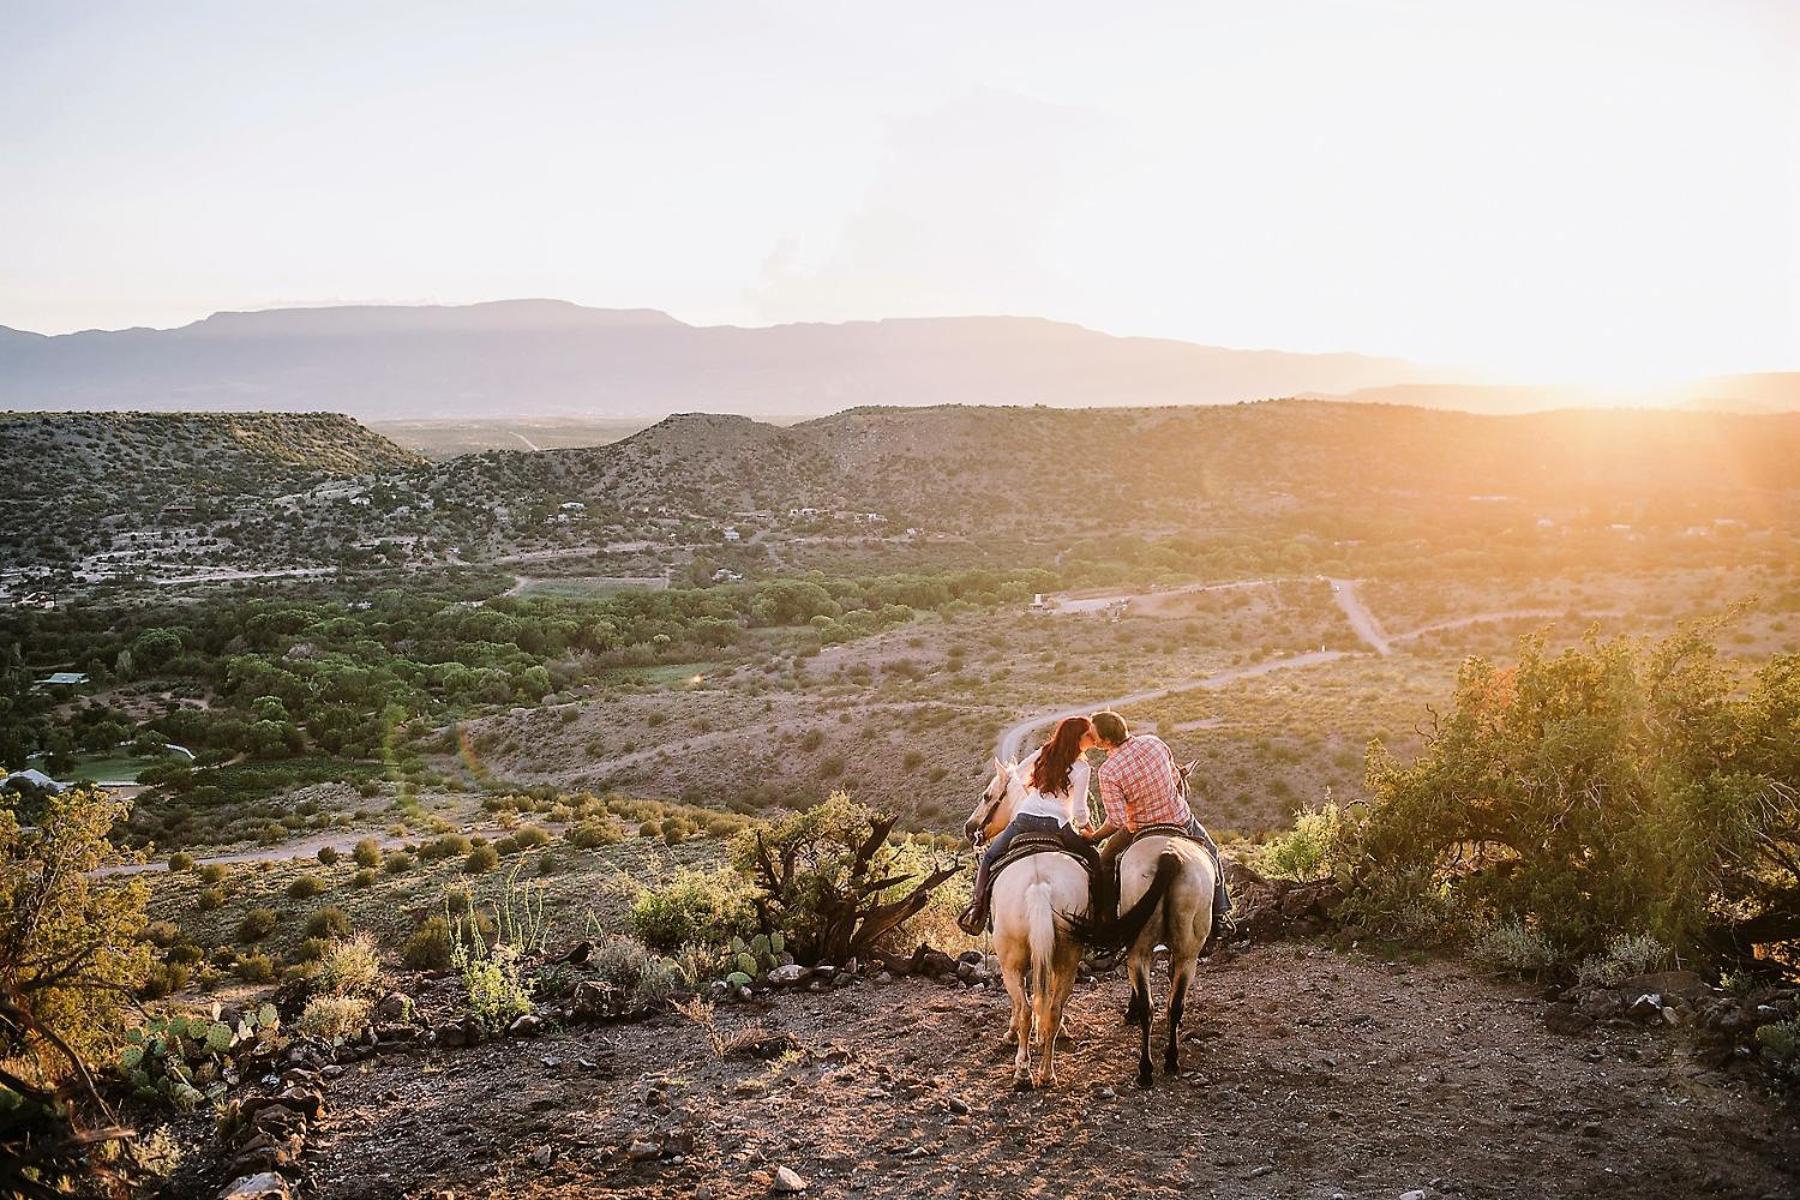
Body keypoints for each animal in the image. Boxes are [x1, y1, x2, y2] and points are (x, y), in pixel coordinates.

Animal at [964, 766, 1087, 1093]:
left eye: (987, 796)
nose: (970, 828)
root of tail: (1039, 885)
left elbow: (1022, 1007)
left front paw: (1012, 1034)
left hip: (1011, 963)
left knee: (1025, 1008)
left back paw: (1022, 1070)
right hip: (1068, 956)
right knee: (1052, 1007)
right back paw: (1045, 1072)